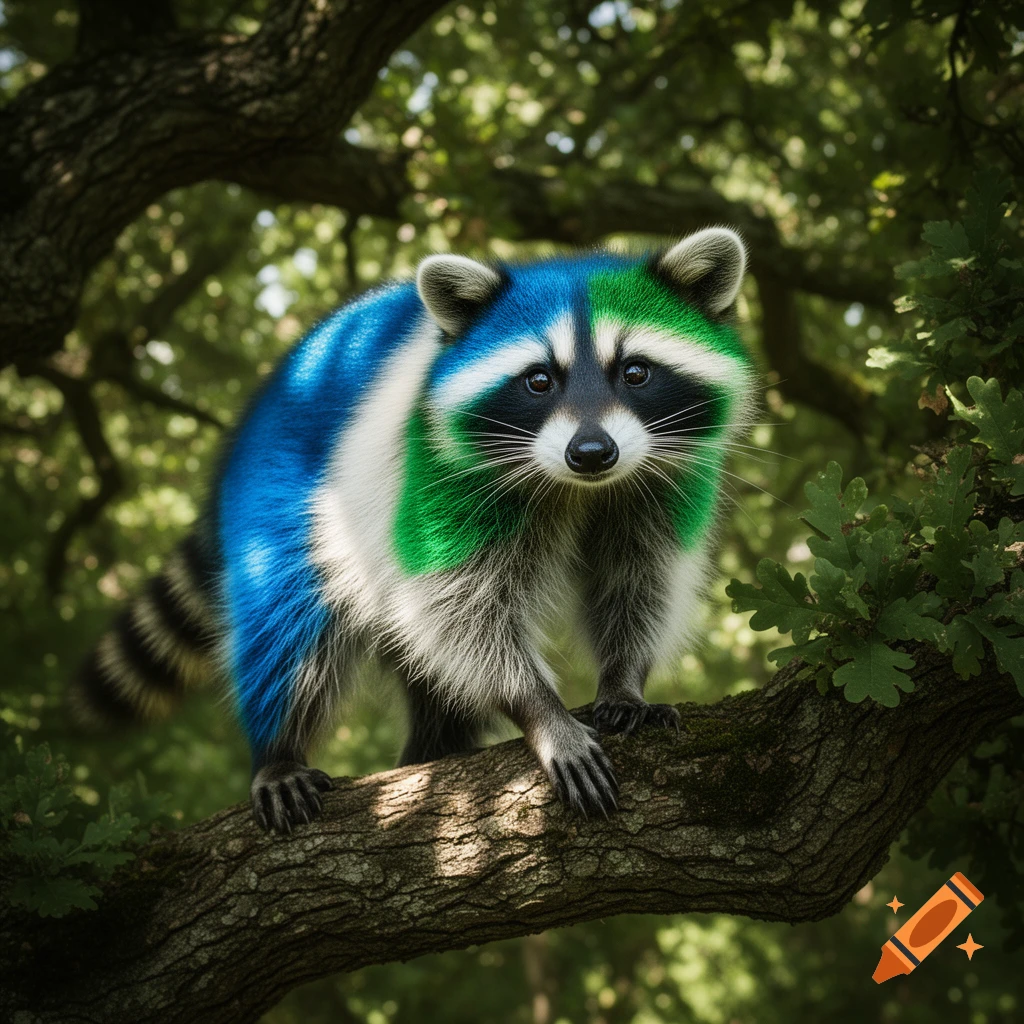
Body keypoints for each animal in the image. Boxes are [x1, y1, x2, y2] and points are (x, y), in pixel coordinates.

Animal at [73, 227, 755, 833]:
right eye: (539, 380)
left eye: (635, 372)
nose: (591, 453)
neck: (576, 487)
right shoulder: (432, 476)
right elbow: (458, 607)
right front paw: (540, 710)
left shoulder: (662, 477)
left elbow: (642, 575)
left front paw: (625, 678)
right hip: (278, 500)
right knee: (288, 624)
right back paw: (278, 748)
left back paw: (436, 744)